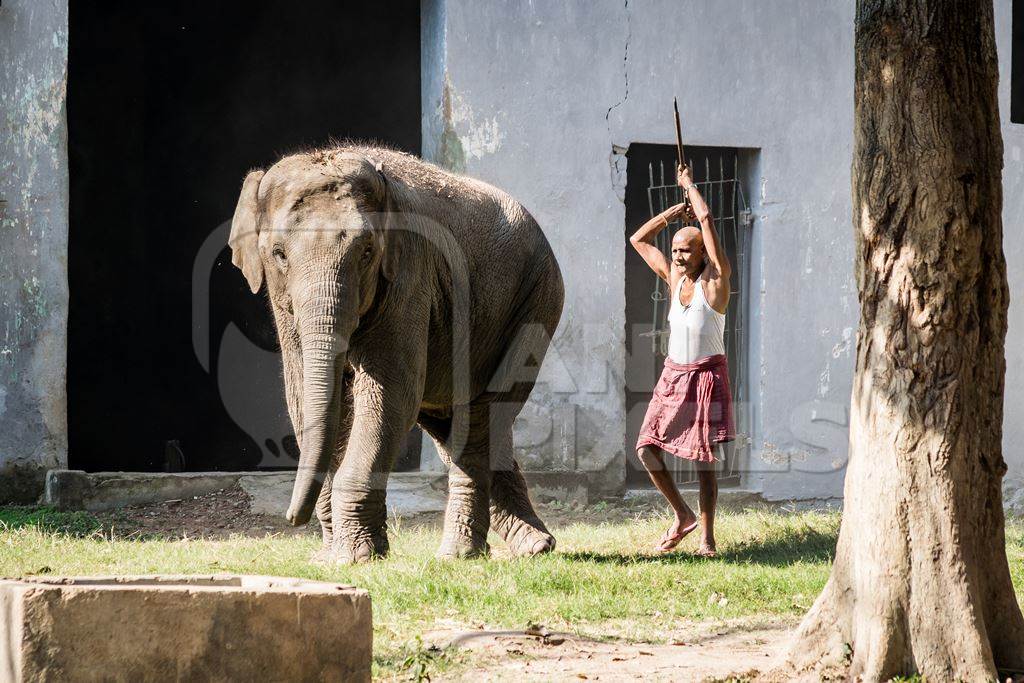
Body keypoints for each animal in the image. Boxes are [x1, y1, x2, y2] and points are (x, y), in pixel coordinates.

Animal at [228, 143, 565, 561]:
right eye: (279, 254)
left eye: (367, 252)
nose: (292, 519)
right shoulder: (282, 302)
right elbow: (303, 397)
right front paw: (330, 557)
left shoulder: (410, 274)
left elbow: (389, 395)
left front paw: (355, 558)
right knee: (458, 425)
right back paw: (533, 544)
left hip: (536, 300)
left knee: (481, 418)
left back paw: (460, 554)